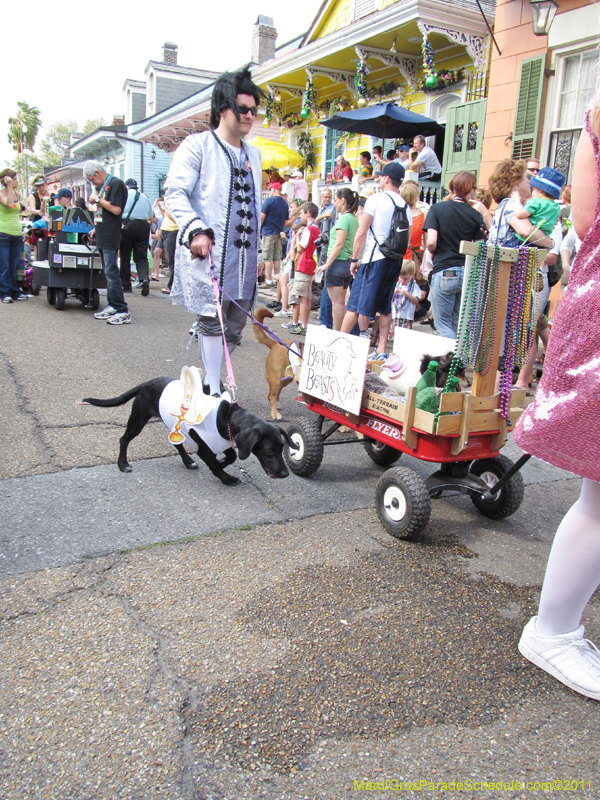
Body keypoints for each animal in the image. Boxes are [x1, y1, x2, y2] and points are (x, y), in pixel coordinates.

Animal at [79, 378, 296, 484]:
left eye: (282, 448)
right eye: (269, 451)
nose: (286, 474)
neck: (226, 417)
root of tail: (147, 383)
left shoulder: (221, 440)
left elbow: (232, 455)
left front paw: (223, 463)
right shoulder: (204, 446)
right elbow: (214, 462)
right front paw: (226, 477)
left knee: (176, 444)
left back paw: (188, 461)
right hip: (138, 419)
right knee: (124, 440)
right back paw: (123, 464)